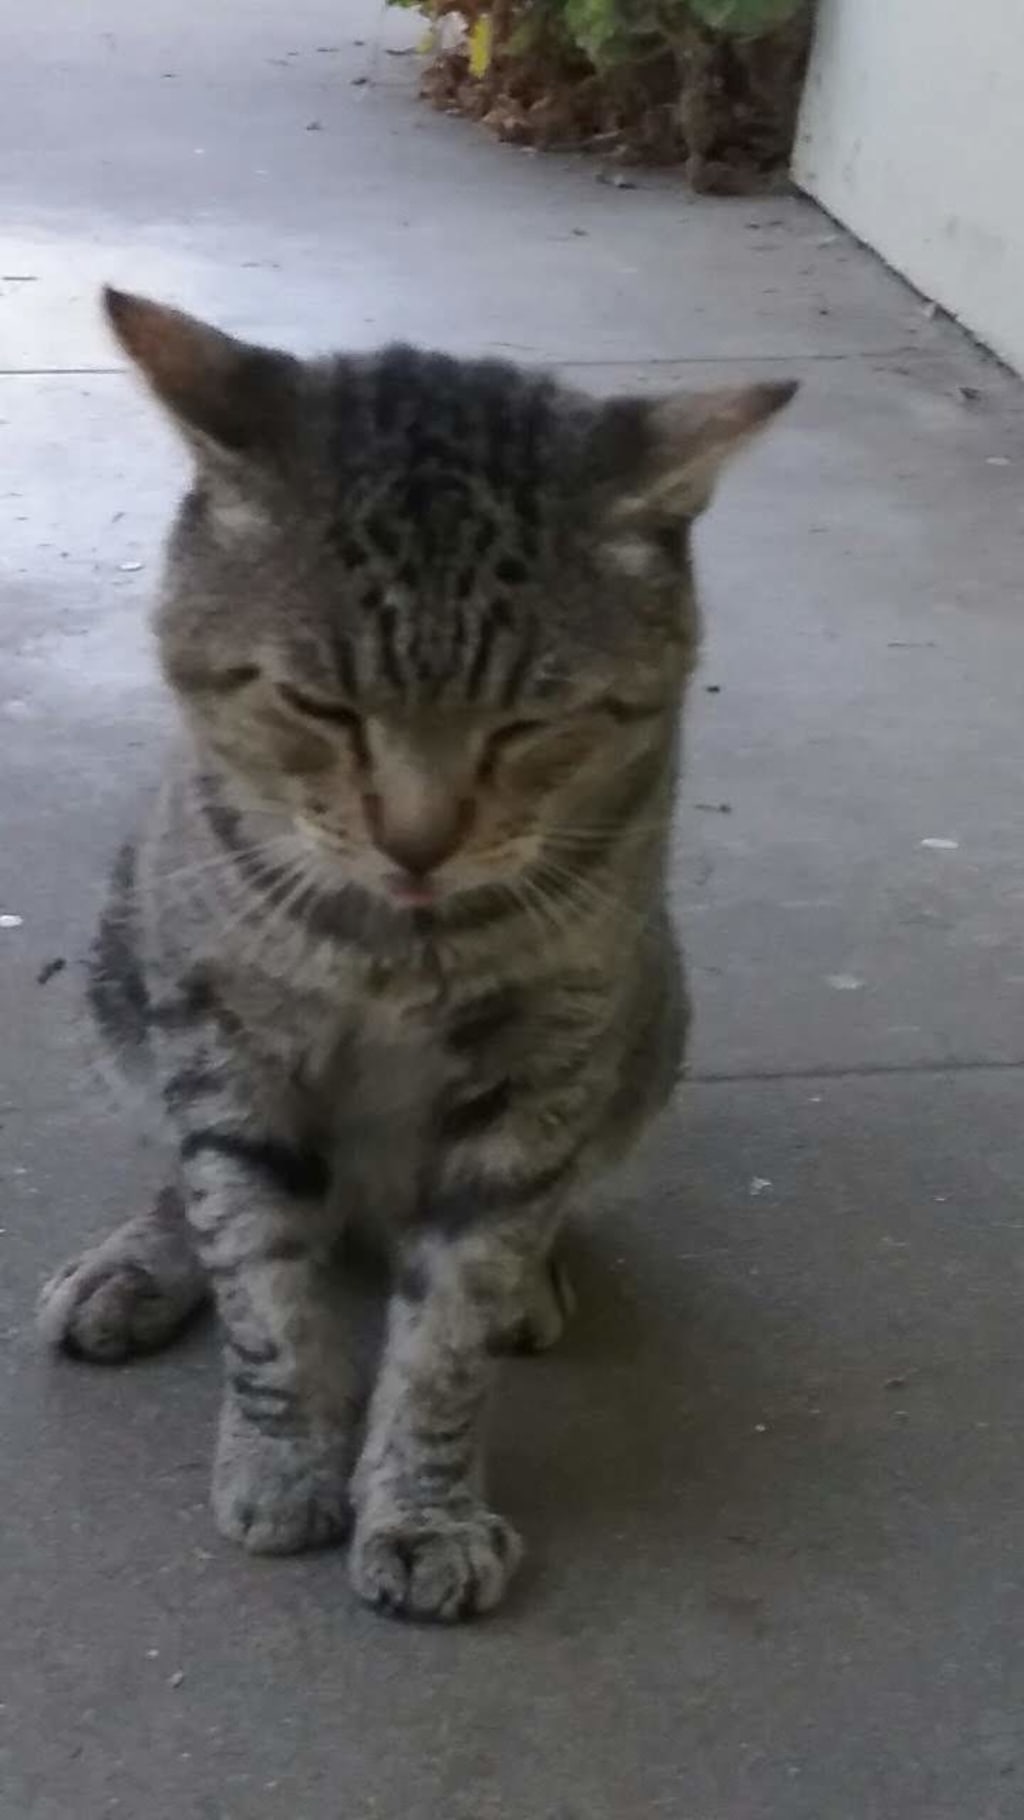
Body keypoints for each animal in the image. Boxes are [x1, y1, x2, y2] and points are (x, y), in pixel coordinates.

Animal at [38, 288, 795, 1621]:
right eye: (319, 706)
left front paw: (422, 1504)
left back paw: (534, 1275)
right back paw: (137, 1261)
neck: (393, 939)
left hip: (652, 1023)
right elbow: (255, 1263)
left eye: (532, 722)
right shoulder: (223, 1033)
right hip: (127, 961)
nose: (417, 840)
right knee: (189, 1175)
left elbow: (454, 1316)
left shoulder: (545, 1059)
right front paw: (284, 1452)